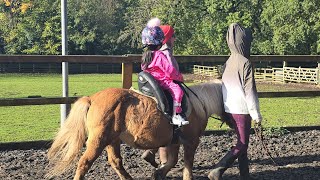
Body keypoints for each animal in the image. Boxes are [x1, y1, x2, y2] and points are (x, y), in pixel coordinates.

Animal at [46, 80, 224, 180]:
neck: (199, 103)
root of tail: (92, 98)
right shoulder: (191, 141)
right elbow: (187, 164)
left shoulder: (174, 141)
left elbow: (172, 160)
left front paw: (158, 173)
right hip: (98, 140)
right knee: (85, 162)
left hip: (112, 140)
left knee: (115, 161)